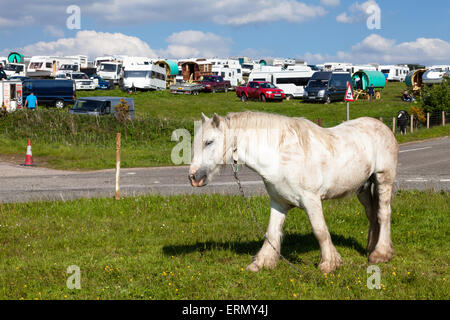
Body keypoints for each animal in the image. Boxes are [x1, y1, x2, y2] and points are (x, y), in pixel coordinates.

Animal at [189, 110, 398, 272]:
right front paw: (262, 263)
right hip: (363, 187)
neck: (281, 155)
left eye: (209, 142)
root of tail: (382, 126)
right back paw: (371, 248)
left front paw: (329, 263)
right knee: (371, 214)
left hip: (383, 178)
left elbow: (320, 230)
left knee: (384, 213)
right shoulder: (278, 203)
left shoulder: (311, 200)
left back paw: (380, 254)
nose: (193, 177)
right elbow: (272, 232)